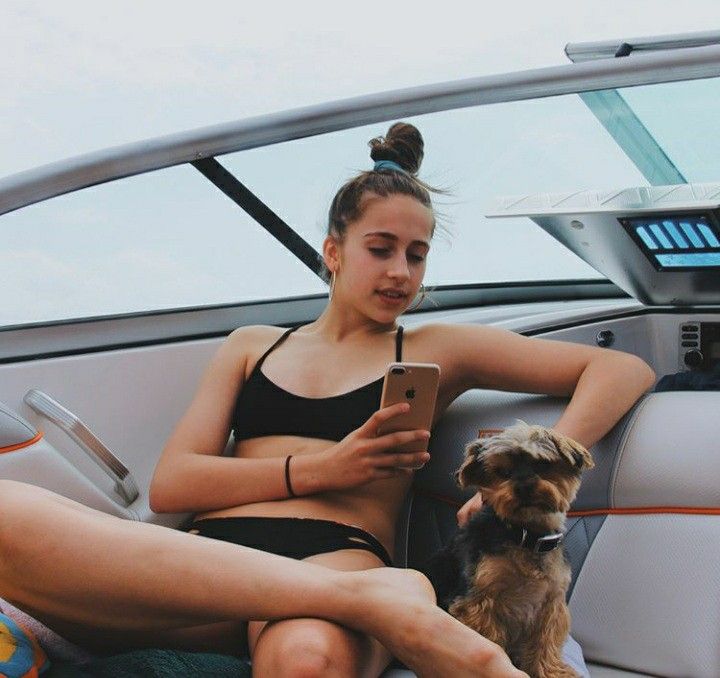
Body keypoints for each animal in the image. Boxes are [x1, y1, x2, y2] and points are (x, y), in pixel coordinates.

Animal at [424, 422, 592, 676]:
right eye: (503, 473)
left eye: (543, 465)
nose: (523, 486)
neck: (526, 536)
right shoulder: (478, 600)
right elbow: (489, 637)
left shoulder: (551, 602)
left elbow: (545, 641)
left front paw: (551, 671)